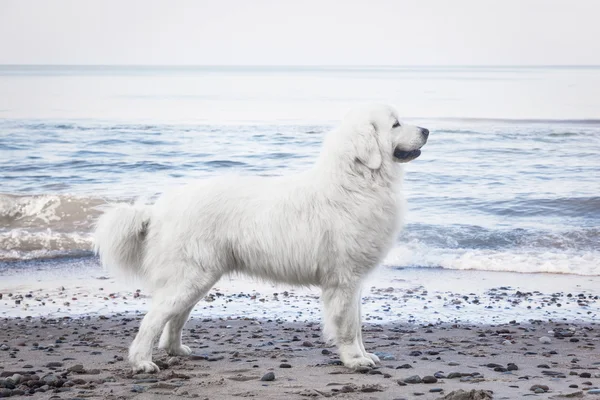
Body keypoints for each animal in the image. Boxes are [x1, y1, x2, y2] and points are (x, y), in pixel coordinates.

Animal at [94, 103, 428, 372]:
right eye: (396, 124)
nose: (426, 130)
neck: (356, 181)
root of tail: (158, 208)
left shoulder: (353, 282)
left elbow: (357, 325)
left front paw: (364, 355)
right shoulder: (343, 280)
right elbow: (347, 327)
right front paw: (355, 361)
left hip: (198, 278)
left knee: (174, 318)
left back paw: (177, 350)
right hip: (190, 277)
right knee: (152, 320)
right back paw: (142, 362)